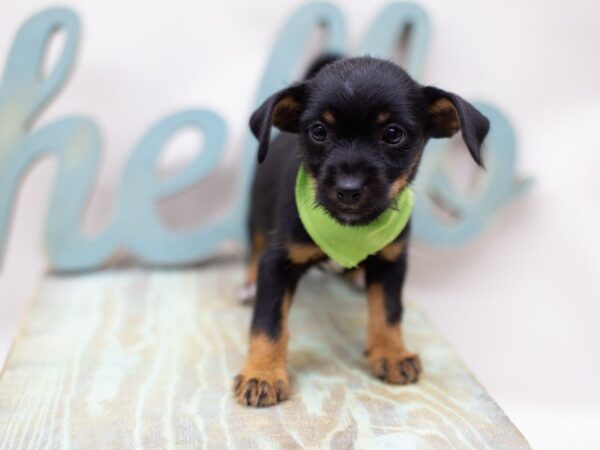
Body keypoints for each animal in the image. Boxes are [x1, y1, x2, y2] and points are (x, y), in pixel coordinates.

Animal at [233, 56, 488, 408]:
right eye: (318, 130)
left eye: (393, 134)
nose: (348, 189)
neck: (347, 231)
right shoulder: (277, 262)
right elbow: (268, 322)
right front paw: (263, 374)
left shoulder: (392, 262)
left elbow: (388, 311)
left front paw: (391, 353)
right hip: (256, 216)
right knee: (254, 248)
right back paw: (248, 284)